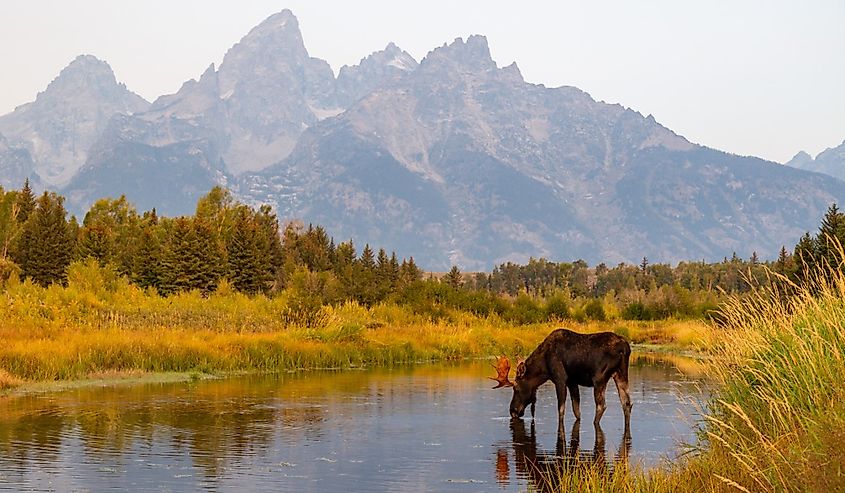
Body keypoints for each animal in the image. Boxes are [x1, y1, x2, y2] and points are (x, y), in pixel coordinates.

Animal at [492, 326, 628, 426]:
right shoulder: (572, 382)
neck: (543, 367)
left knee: (601, 406)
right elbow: (576, 411)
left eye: (516, 388)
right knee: (626, 402)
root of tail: (625, 348)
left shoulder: (560, 379)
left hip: (599, 378)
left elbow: (561, 410)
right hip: (621, 374)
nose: (512, 411)